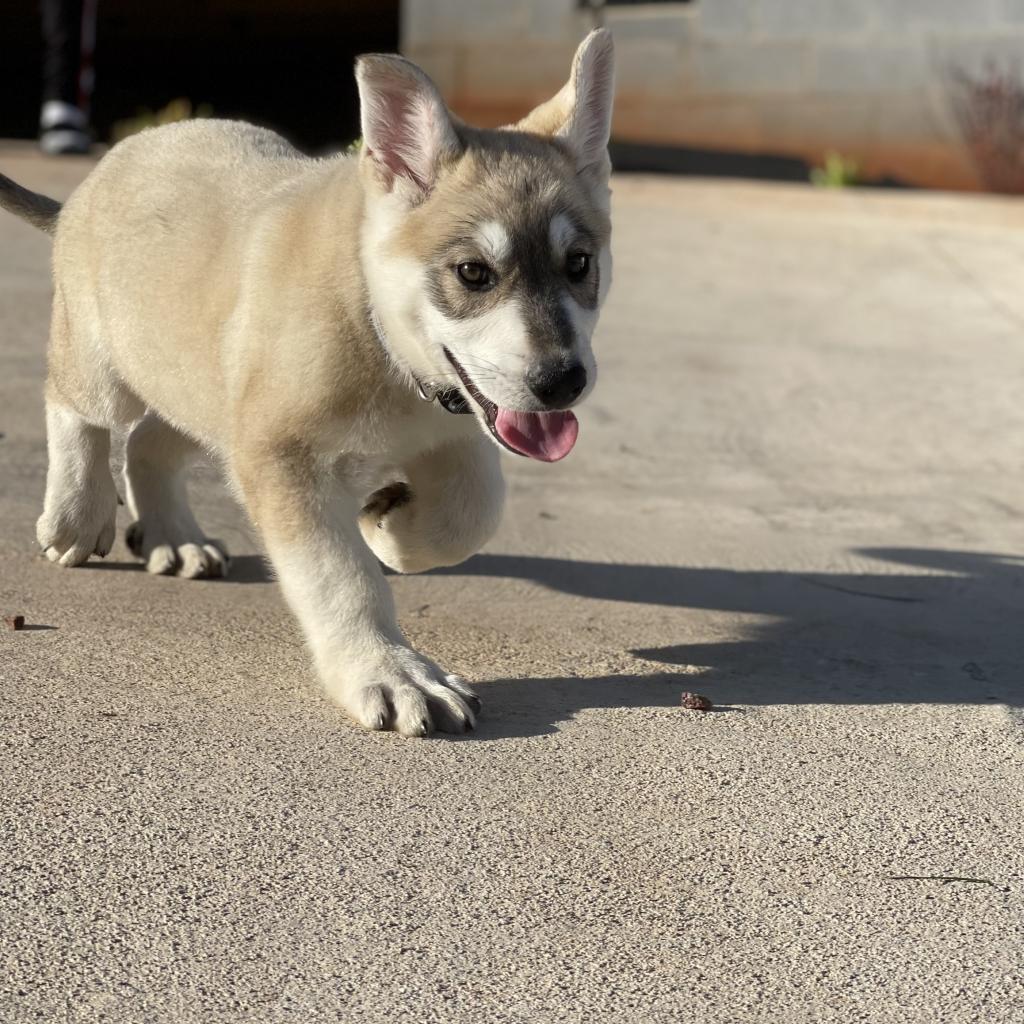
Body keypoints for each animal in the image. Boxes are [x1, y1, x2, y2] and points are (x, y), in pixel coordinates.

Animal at [0, 32, 614, 737]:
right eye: (472, 273)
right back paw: (76, 512)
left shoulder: (458, 429)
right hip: (111, 361)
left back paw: (174, 535)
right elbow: (340, 578)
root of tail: (122, 153)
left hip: (207, 392)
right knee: (77, 408)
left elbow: (473, 512)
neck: (379, 333)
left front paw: (391, 530)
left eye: (580, 265)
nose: (562, 382)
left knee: (152, 439)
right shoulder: (282, 458)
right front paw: (389, 669)